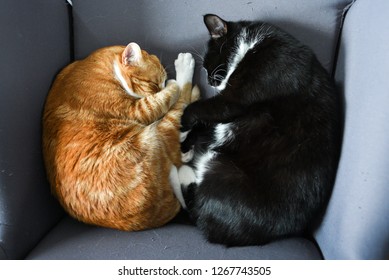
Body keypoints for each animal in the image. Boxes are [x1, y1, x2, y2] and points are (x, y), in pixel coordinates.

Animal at [42, 41, 199, 230]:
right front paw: (176, 79)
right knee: (179, 113)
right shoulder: (140, 110)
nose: (163, 85)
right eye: (154, 84)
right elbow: (172, 92)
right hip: (155, 137)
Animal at [174, 14, 342, 245]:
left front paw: (182, 129)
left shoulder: (235, 99)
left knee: (193, 205)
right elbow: (202, 119)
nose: (210, 81)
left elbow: (196, 109)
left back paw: (181, 170)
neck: (252, 45)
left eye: (208, 64)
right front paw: (186, 143)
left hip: (220, 168)